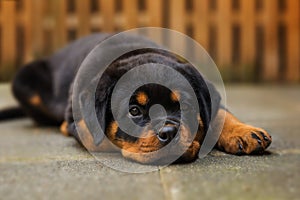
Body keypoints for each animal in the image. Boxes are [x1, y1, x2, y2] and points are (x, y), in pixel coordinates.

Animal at [0, 33, 272, 164]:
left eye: (185, 105)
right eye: (133, 111)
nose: (169, 133)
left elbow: (221, 112)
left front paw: (246, 132)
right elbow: (94, 135)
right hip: (23, 80)